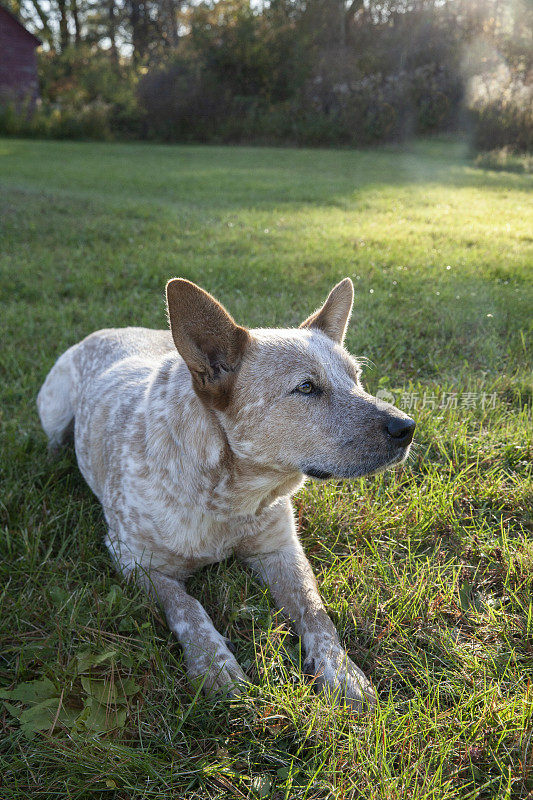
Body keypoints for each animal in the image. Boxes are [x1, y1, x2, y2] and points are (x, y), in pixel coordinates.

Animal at [37, 278, 416, 708]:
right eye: (306, 387)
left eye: (356, 377)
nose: (407, 427)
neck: (229, 501)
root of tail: (104, 330)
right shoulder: (133, 558)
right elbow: (187, 607)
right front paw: (215, 664)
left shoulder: (280, 549)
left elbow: (316, 612)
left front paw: (343, 672)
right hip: (55, 411)